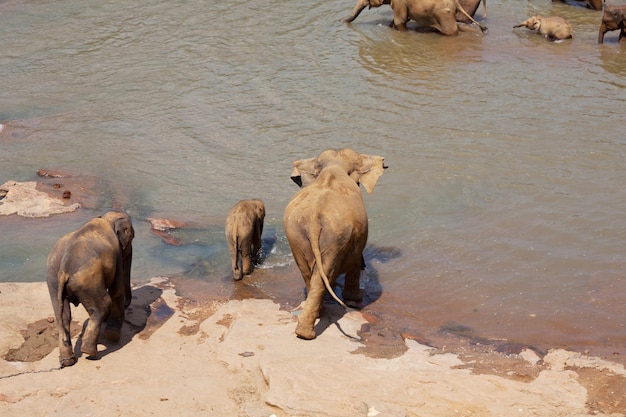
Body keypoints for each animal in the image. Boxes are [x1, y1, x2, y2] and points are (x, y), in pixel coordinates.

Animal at [46, 211, 134, 368]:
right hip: (88, 280)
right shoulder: (117, 256)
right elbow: (116, 291)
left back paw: (67, 361)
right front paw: (113, 337)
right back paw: (90, 352)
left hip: (53, 280)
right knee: (103, 305)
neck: (106, 218)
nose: (128, 304)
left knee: (62, 315)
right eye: (132, 237)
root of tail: (64, 268)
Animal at [282, 148, 386, 340]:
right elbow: (355, 259)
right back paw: (309, 331)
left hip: (297, 234)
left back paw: (310, 325)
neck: (334, 166)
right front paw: (356, 299)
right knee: (323, 274)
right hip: (335, 237)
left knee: (308, 274)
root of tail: (313, 218)